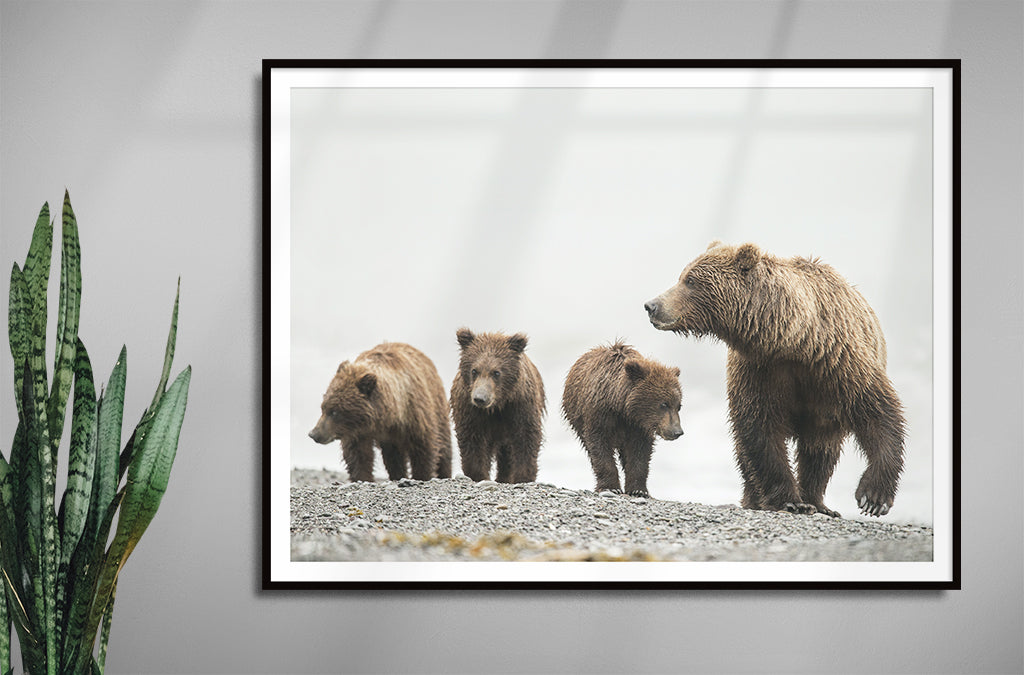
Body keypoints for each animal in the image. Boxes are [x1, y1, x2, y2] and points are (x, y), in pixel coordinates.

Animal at [308, 342, 452, 482]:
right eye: (323, 407)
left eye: (334, 412)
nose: (314, 434)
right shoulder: (357, 432)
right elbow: (358, 454)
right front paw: (362, 478)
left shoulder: (414, 414)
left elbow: (423, 447)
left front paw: (422, 475)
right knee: (393, 456)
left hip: (437, 403)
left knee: (444, 443)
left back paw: (444, 473)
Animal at [450, 328, 545, 483]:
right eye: (474, 370)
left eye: (496, 372)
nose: (480, 398)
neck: (496, 406)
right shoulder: (470, 410)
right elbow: (472, 440)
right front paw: (479, 475)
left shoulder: (519, 406)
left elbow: (526, 437)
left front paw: (523, 476)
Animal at [562, 342, 684, 498]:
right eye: (663, 404)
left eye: (678, 405)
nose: (677, 431)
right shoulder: (598, 415)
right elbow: (599, 447)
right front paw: (610, 487)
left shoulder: (638, 426)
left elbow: (640, 453)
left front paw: (638, 490)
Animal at [644, 240, 905, 517]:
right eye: (682, 276)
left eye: (690, 281)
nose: (652, 305)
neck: (793, 341)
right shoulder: (760, 370)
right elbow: (761, 430)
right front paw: (789, 500)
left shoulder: (837, 363)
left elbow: (879, 412)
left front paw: (873, 497)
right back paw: (756, 498)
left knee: (821, 450)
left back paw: (819, 502)